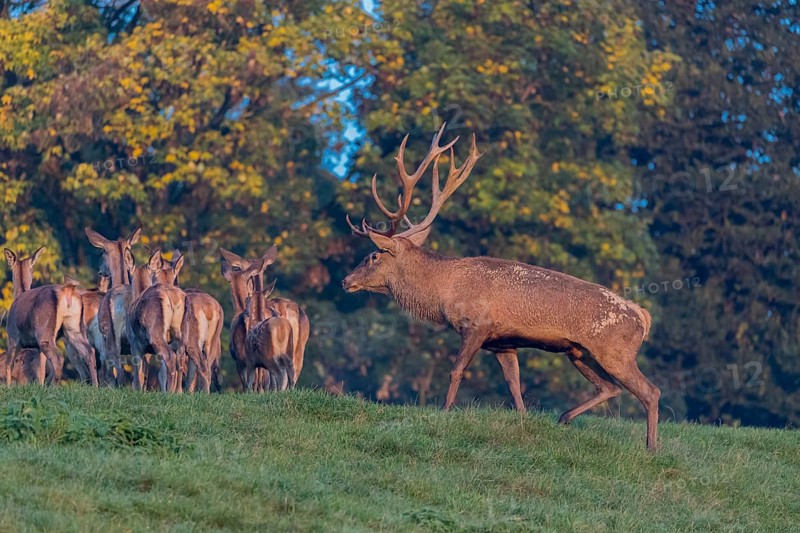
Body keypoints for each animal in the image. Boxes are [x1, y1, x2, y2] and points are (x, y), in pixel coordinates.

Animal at [3, 247, 97, 386]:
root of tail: (67, 290)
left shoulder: (12, 335)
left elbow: (9, 364)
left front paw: (8, 387)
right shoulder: (35, 347)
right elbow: (40, 369)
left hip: (44, 330)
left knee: (58, 358)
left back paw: (54, 387)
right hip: (74, 327)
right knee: (90, 351)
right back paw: (95, 386)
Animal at [126, 249, 185, 392]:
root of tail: (171, 296)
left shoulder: (134, 343)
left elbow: (138, 374)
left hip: (155, 333)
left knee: (170, 356)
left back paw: (170, 392)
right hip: (178, 331)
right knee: (180, 356)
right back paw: (178, 391)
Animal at [341, 124, 660, 449]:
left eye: (373, 255)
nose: (346, 280)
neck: (444, 289)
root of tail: (642, 317)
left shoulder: (477, 325)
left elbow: (456, 370)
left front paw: (444, 412)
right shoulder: (503, 343)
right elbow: (513, 384)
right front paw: (523, 420)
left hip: (615, 351)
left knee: (650, 391)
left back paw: (651, 447)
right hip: (578, 352)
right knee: (610, 388)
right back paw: (564, 417)